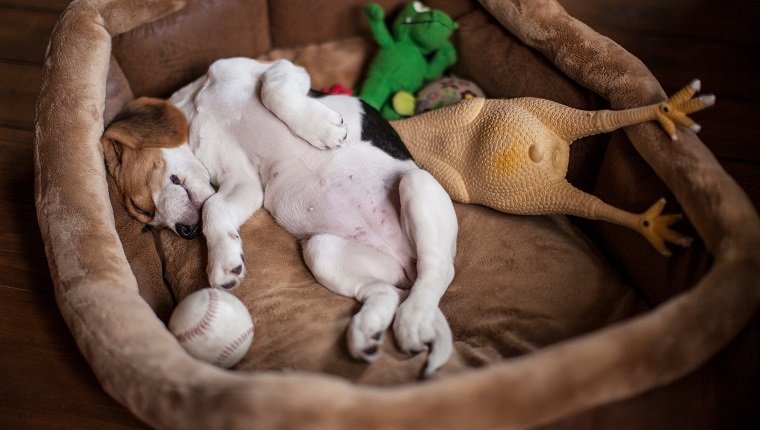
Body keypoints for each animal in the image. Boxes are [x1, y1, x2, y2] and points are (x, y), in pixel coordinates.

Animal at [101, 58, 458, 376]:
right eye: (148, 221)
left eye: (143, 207)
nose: (185, 231)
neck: (196, 106)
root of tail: (406, 263)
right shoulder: (242, 179)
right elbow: (215, 207)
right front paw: (224, 261)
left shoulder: (278, 68)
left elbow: (272, 90)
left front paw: (323, 128)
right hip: (322, 250)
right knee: (387, 290)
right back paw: (367, 332)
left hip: (416, 184)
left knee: (439, 270)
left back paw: (412, 319)